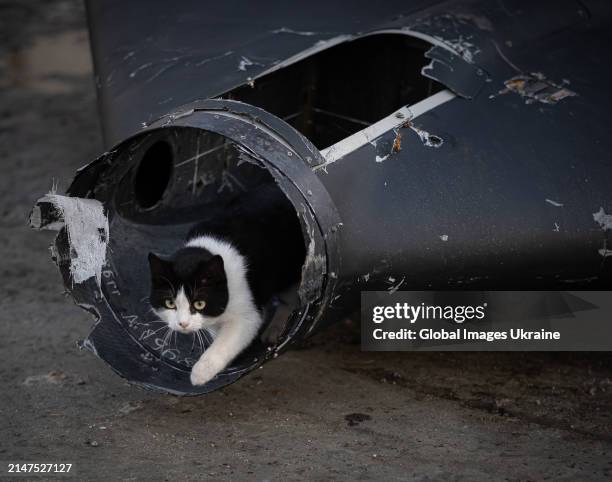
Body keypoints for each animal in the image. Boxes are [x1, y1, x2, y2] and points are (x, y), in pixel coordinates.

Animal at [146, 183, 304, 386]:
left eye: (199, 303)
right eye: (170, 303)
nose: (183, 324)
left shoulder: (247, 311)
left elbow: (227, 340)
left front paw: (200, 372)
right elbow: (216, 331)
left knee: (290, 299)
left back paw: (274, 330)